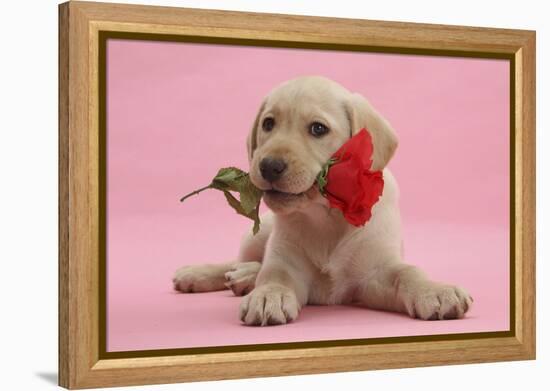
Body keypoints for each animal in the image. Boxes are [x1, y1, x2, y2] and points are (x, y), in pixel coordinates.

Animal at [174, 75, 474, 326]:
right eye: (268, 124)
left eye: (318, 129)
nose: (269, 166)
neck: (326, 215)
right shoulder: (286, 260)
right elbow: (275, 274)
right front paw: (268, 295)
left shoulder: (375, 273)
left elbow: (407, 273)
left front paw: (434, 290)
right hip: (257, 235)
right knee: (241, 261)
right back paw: (205, 274)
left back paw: (243, 277)